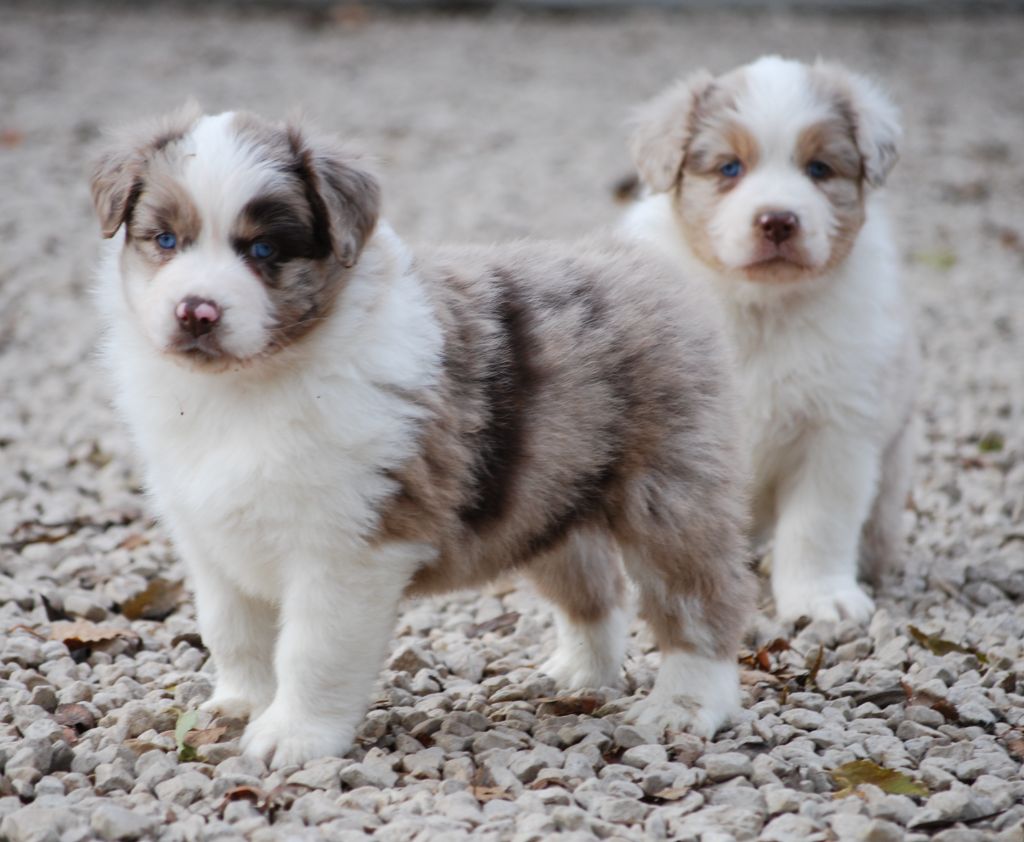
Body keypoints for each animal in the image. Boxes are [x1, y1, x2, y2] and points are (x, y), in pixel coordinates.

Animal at [90, 107, 755, 768]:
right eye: (166, 240)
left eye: (263, 249)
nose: (195, 312)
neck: (247, 388)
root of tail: (643, 262)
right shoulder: (208, 536)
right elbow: (233, 631)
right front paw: (239, 706)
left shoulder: (349, 547)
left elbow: (313, 650)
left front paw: (293, 736)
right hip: (547, 501)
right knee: (594, 588)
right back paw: (579, 676)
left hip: (669, 495)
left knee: (702, 599)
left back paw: (685, 706)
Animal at [623, 56, 917, 625]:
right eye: (730, 169)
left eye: (819, 169)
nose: (778, 220)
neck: (759, 309)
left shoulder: (837, 431)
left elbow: (817, 526)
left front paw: (821, 599)